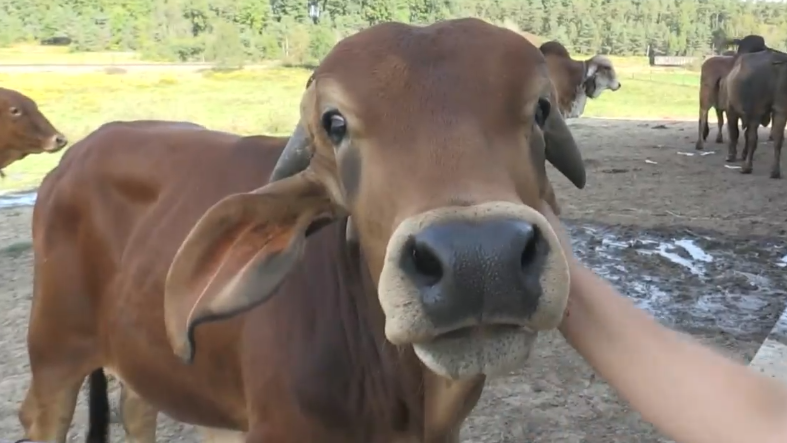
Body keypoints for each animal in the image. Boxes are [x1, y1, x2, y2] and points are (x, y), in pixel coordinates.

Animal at [720, 50, 787, 179]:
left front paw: (731, 155)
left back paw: (746, 167)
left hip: (756, 111)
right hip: (781, 110)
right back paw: (775, 171)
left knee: (752, 138)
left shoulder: (731, 110)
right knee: (778, 138)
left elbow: (734, 133)